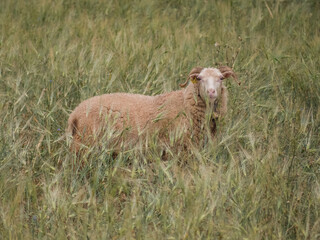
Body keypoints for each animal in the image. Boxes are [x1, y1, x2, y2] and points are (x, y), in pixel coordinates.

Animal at [67, 65, 238, 152]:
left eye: (221, 78)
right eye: (200, 79)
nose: (211, 92)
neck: (184, 103)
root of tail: (75, 114)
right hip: (85, 144)